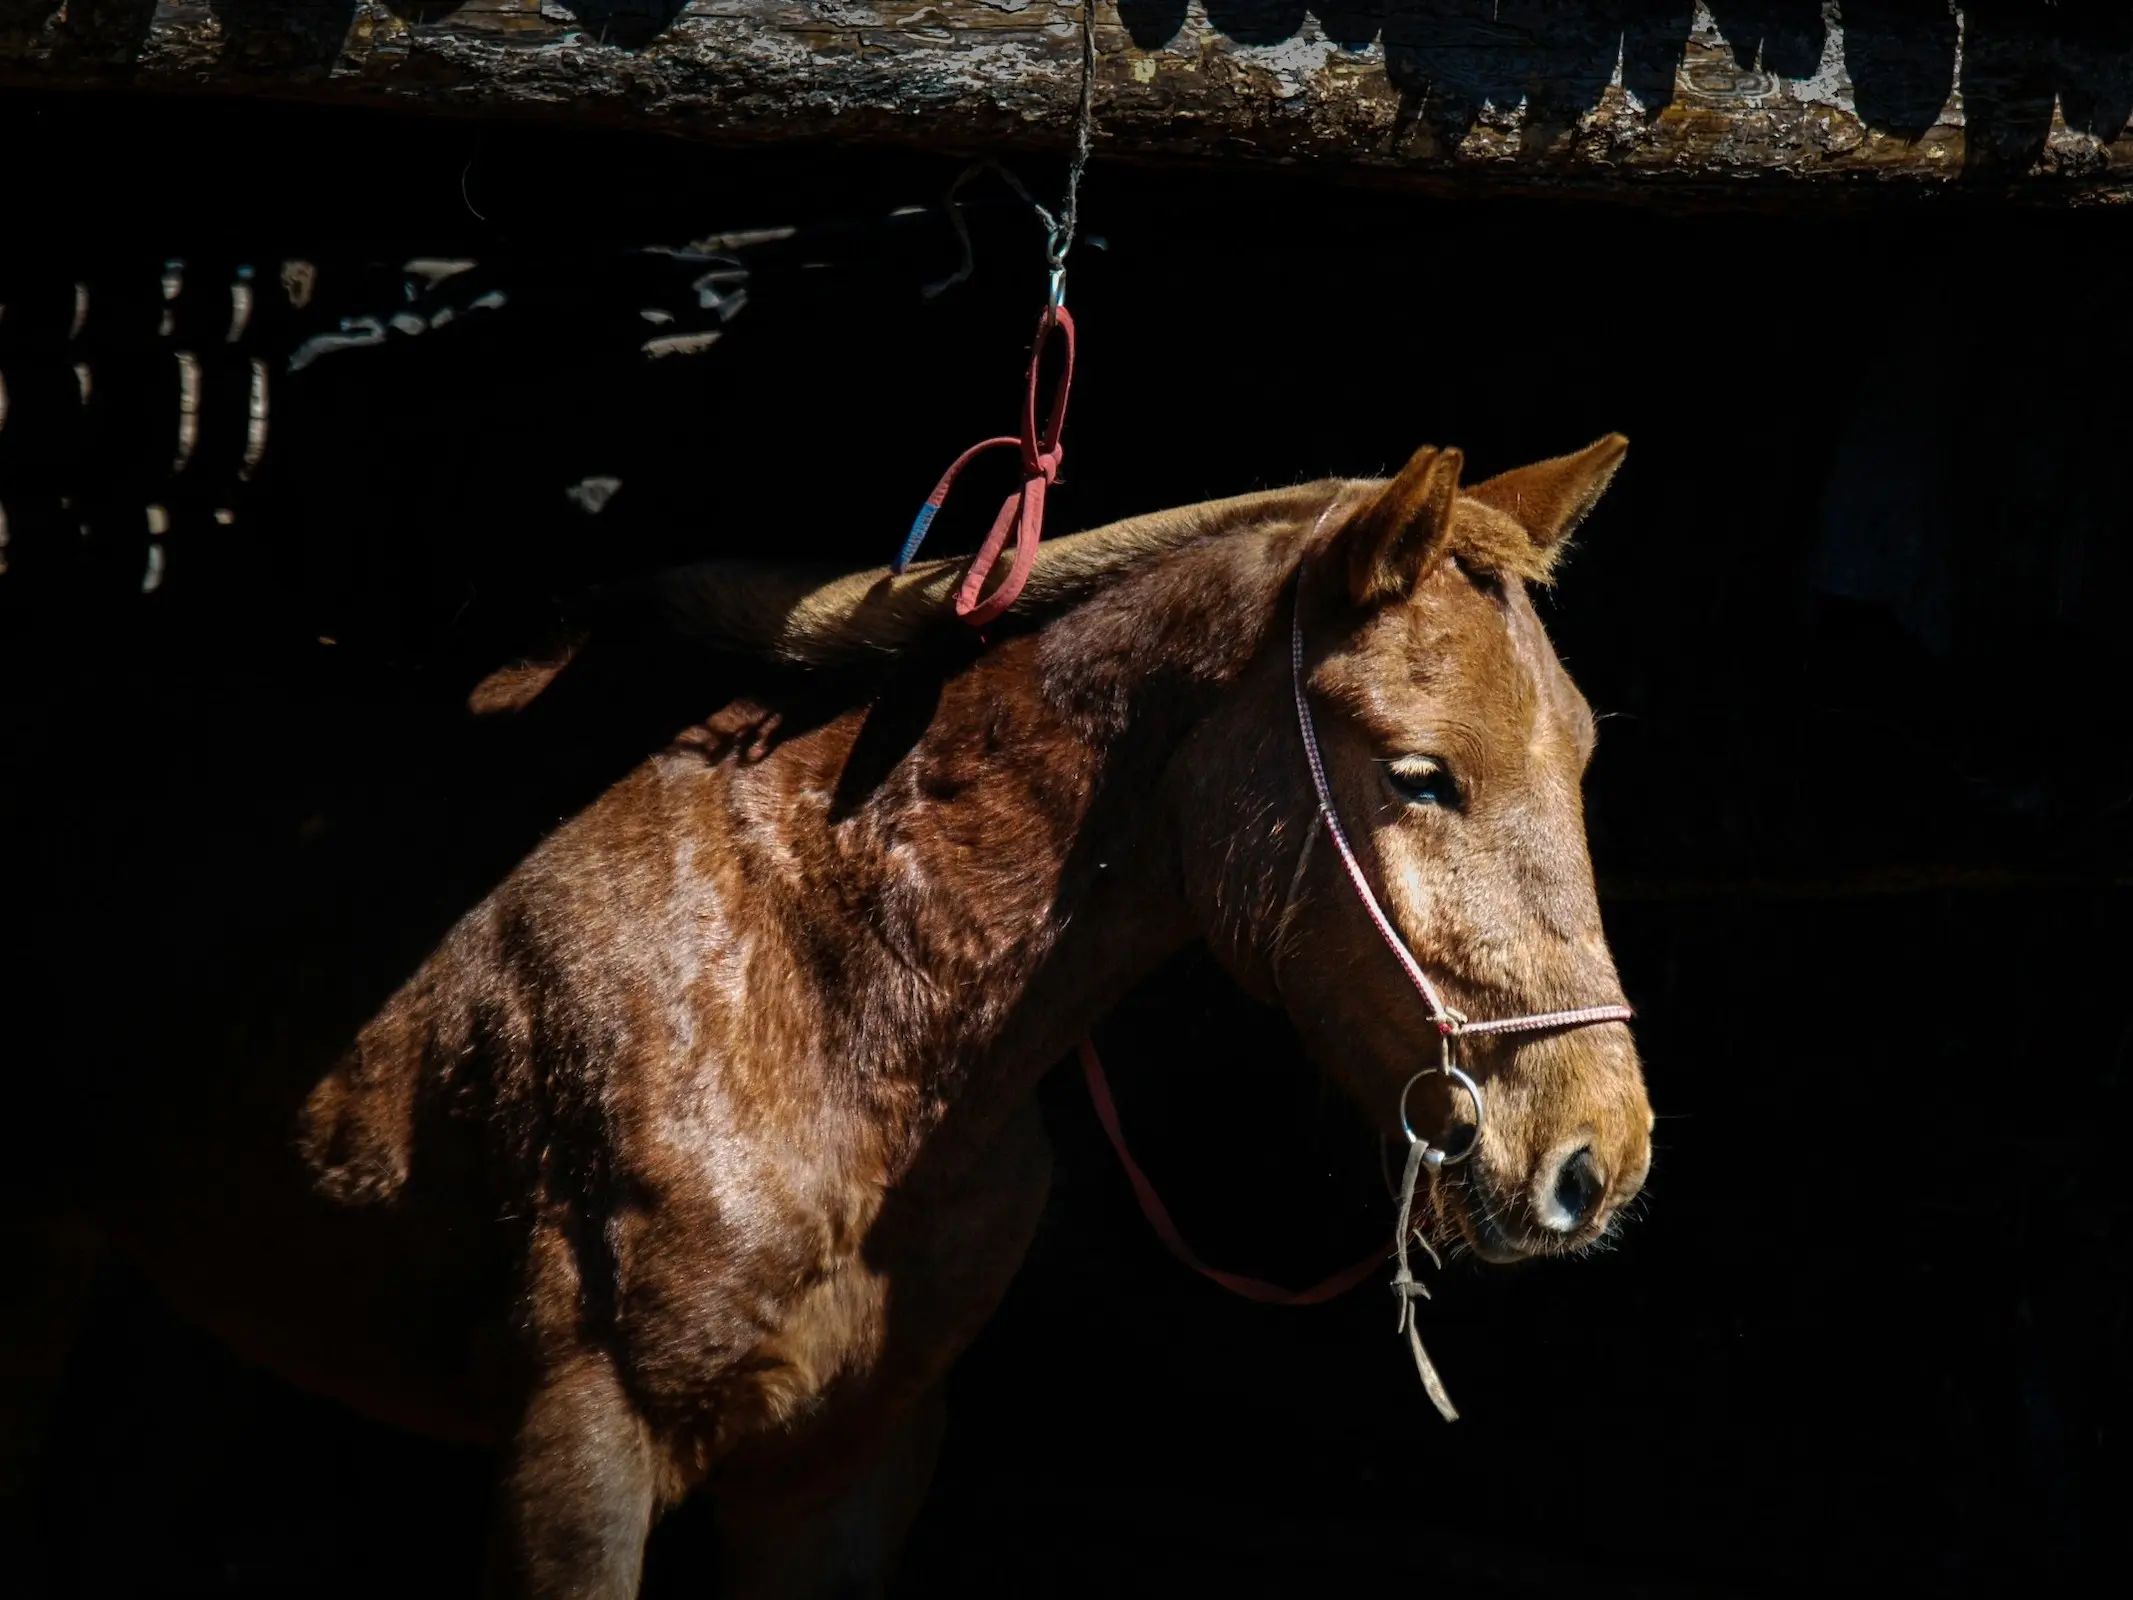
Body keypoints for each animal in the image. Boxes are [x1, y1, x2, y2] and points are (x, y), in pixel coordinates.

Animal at [62, 435, 1629, 1595]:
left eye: (1581, 757)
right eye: (1420, 774)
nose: (1595, 1157)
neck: (825, 978)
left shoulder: (849, 1468)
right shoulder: (577, 1455)